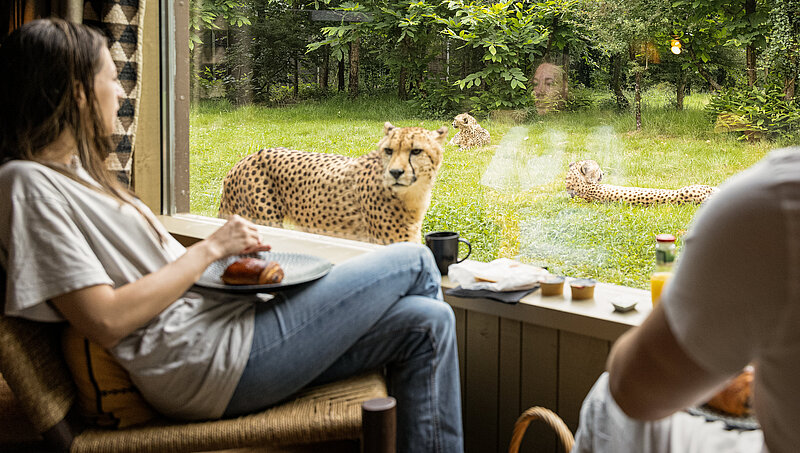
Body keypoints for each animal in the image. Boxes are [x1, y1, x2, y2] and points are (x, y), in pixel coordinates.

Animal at [219, 122, 448, 245]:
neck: (413, 193)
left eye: (416, 151)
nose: (395, 172)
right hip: (265, 219)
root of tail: (242, 161)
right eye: (389, 150)